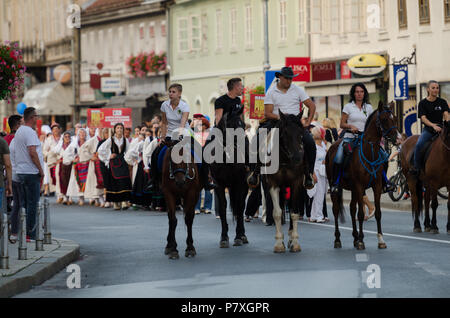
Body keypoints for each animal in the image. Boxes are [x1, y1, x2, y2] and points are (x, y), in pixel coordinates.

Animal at [326, 100, 400, 250]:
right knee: (336, 210)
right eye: (384, 119)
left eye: (395, 118)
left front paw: (380, 240)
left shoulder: (376, 186)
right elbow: (360, 214)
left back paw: (355, 237)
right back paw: (338, 239)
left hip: (353, 189)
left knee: (351, 208)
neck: (369, 152)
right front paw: (361, 241)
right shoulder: (360, 186)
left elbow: (378, 213)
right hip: (335, 187)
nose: (396, 138)